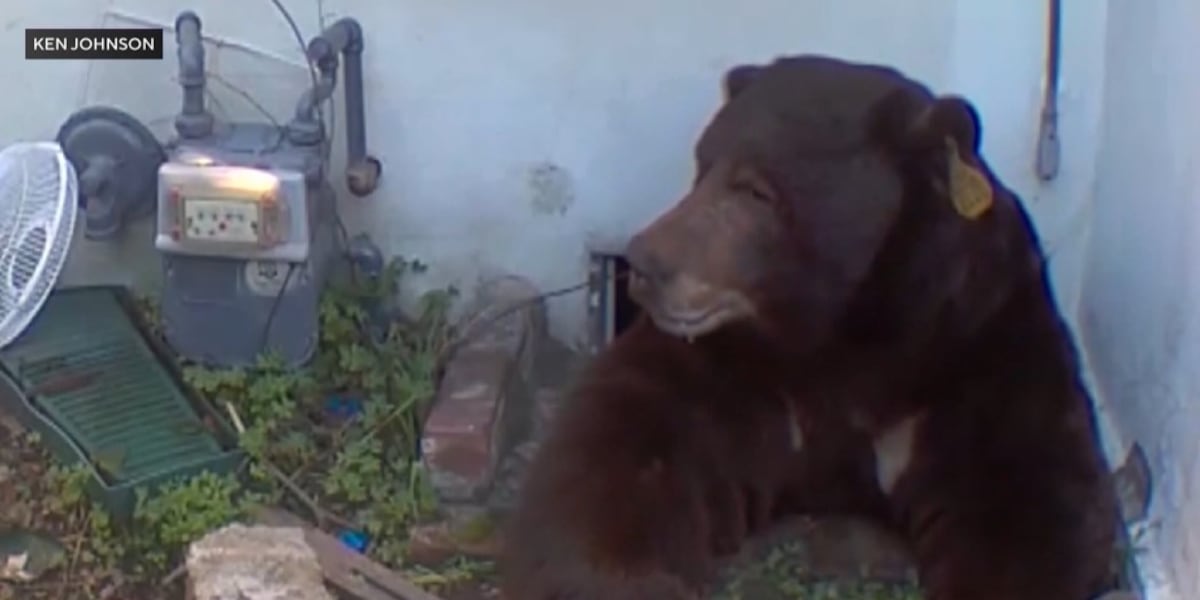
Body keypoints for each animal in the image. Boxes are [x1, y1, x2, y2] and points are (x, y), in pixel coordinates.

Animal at [499, 54, 1119, 600]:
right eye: (701, 166)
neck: (844, 332)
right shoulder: (733, 369)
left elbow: (1030, 503)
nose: (645, 264)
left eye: (756, 189)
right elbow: (618, 453)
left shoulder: (976, 345)